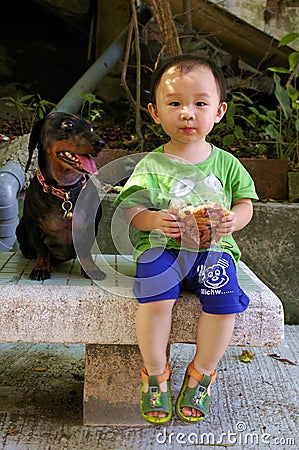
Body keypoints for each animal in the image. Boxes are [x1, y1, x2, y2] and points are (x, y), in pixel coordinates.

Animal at [16, 111, 106, 282]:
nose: (101, 143)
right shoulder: (34, 227)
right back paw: (29, 253)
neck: (65, 190)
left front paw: (91, 269)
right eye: (68, 124)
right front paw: (41, 268)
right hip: (20, 226)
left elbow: (85, 252)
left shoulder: (90, 229)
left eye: (91, 127)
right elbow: (42, 251)